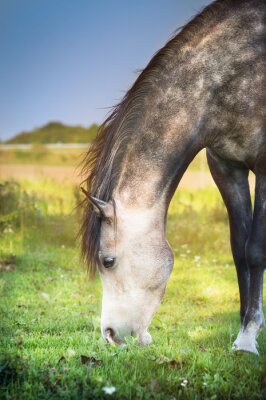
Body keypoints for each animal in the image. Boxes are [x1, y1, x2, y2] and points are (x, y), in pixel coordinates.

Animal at [81, 0, 266, 354]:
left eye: (108, 261)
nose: (109, 335)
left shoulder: (265, 166)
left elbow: (255, 250)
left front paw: (248, 337)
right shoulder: (225, 166)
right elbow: (239, 248)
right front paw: (245, 324)